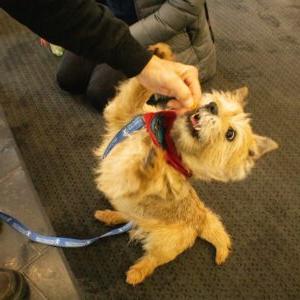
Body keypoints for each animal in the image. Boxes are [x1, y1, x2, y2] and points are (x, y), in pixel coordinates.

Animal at [93, 44, 276, 284]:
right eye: (218, 103)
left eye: (230, 134)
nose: (212, 107)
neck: (164, 138)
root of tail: (201, 218)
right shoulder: (123, 112)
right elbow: (137, 89)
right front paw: (163, 56)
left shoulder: (130, 181)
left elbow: (142, 176)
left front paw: (153, 164)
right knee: (129, 217)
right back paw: (108, 215)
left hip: (165, 244)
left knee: (152, 258)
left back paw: (136, 273)